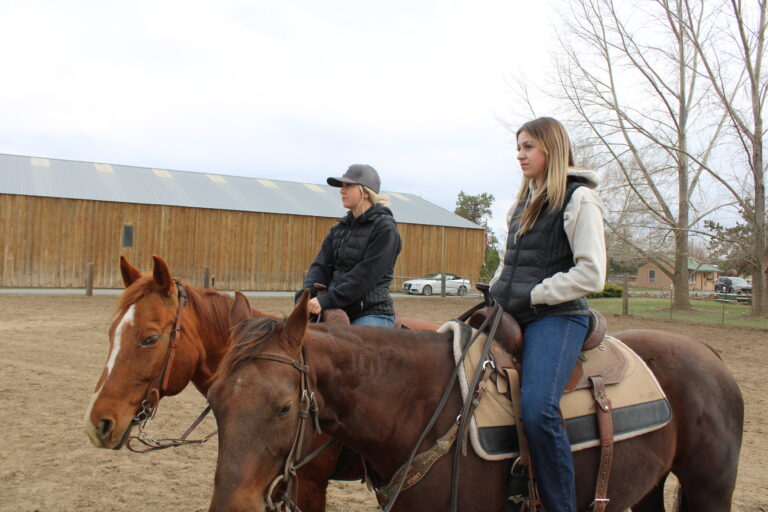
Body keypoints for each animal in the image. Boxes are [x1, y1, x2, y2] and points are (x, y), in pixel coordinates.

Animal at [206, 292, 744, 512]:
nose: (232, 508)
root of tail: (709, 352)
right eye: (213, 399)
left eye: (283, 407)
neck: (419, 407)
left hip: (711, 488)